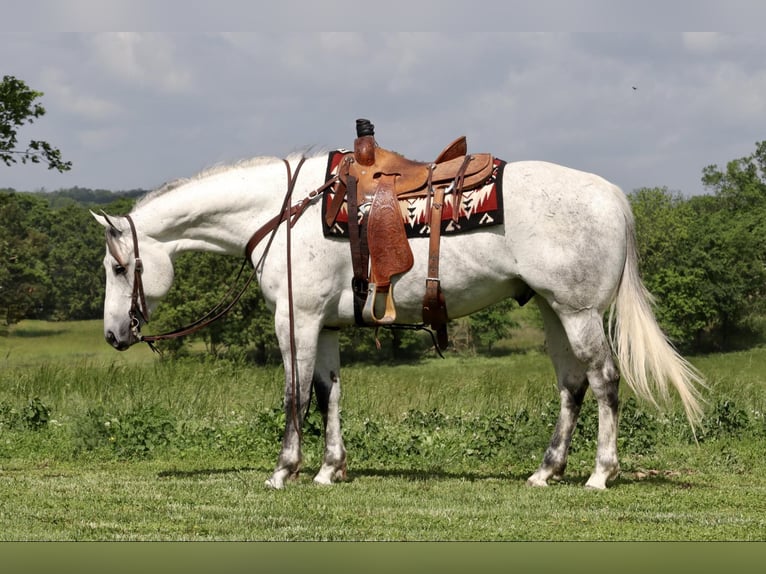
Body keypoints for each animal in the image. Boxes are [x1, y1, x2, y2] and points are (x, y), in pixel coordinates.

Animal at [91, 148, 708, 490]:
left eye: (119, 266)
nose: (115, 334)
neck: (285, 212)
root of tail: (613, 196)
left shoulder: (296, 319)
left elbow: (294, 393)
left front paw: (285, 470)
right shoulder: (327, 325)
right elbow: (328, 393)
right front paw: (330, 469)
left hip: (579, 314)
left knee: (604, 382)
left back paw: (601, 473)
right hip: (555, 312)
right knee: (571, 386)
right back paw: (546, 470)